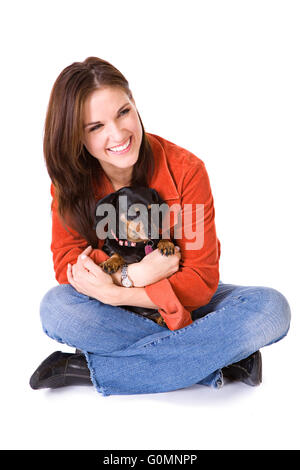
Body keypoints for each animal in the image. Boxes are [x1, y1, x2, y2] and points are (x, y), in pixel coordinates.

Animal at [95, 185, 176, 324]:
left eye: (152, 209)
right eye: (133, 213)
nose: (152, 233)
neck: (134, 244)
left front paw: (166, 244)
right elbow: (117, 253)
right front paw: (111, 262)